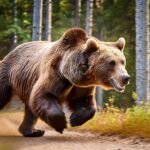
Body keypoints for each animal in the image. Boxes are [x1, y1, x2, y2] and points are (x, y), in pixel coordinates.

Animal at [0, 28, 130, 137]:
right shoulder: (55, 74)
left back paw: (32, 131)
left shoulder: (80, 86)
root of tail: (12, 51)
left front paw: (75, 119)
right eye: (112, 63)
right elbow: (44, 94)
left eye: (122, 61)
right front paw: (61, 124)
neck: (70, 74)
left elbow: (83, 101)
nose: (126, 77)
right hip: (8, 73)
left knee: (30, 111)